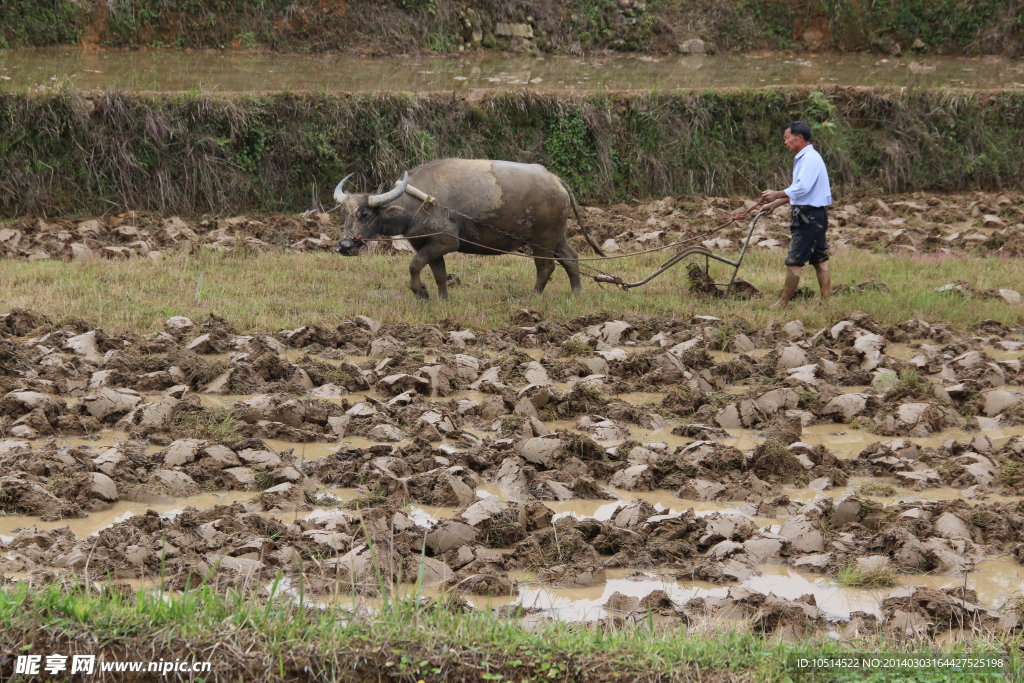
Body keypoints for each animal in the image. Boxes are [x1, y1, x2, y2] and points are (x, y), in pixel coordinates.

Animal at [335, 160, 602, 301]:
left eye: (364, 214)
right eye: (345, 213)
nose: (344, 246)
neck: (419, 204)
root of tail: (556, 180)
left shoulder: (445, 242)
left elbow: (414, 264)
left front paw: (421, 291)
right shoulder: (429, 245)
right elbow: (439, 273)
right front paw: (442, 299)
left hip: (542, 240)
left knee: (546, 266)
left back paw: (532, 297)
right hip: (557, 237)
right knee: (571, 258)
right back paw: (577, 292)